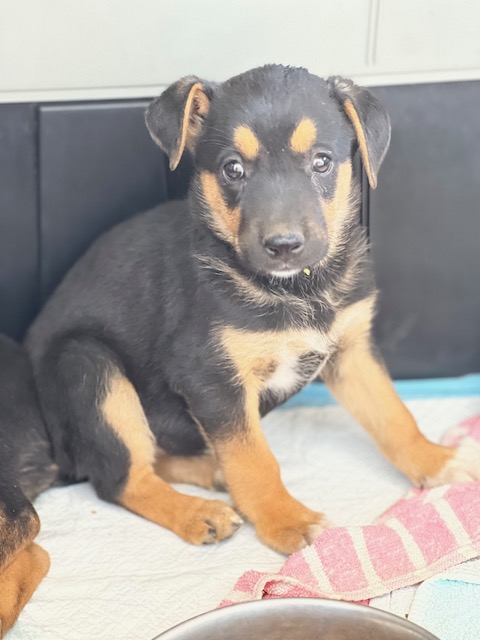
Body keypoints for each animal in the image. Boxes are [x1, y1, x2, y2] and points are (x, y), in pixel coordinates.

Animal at [1, 64, 479, 635]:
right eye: (233, 169)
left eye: (322, 161)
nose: (283, 245)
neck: (295, 289)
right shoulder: (211, 377)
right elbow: (254, 458)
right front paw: (286, 520)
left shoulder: (352, 350)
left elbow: (394, 416)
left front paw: (439, 462)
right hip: (88, 367)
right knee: (120, 477)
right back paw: (196, 511)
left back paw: (209, 470)